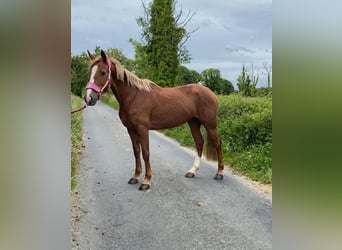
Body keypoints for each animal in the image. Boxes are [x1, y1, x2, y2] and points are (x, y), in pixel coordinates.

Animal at [84, 49, 224, 190]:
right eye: (90, 72)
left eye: (103, 72)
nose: (89, 98)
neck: (133, 96)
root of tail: (212, 93)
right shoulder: (131, 129)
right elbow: (136, 152)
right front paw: (135, 176)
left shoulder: (143, 129)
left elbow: (146, 153)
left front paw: (146, 181)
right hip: (193, 122)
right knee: (199, 142)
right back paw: (192, 171)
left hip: (210, 124)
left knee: (217, 143)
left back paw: (219, 173)